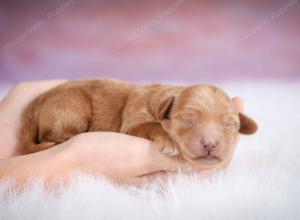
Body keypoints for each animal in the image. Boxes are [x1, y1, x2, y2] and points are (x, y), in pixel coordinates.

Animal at [19, 79, 256, 170]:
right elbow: (151, 125)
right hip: (73, 104)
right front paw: (167, 141)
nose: (210, 144)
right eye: (188, 120)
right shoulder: (133, 121)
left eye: (229, 125)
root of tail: (33, 105)